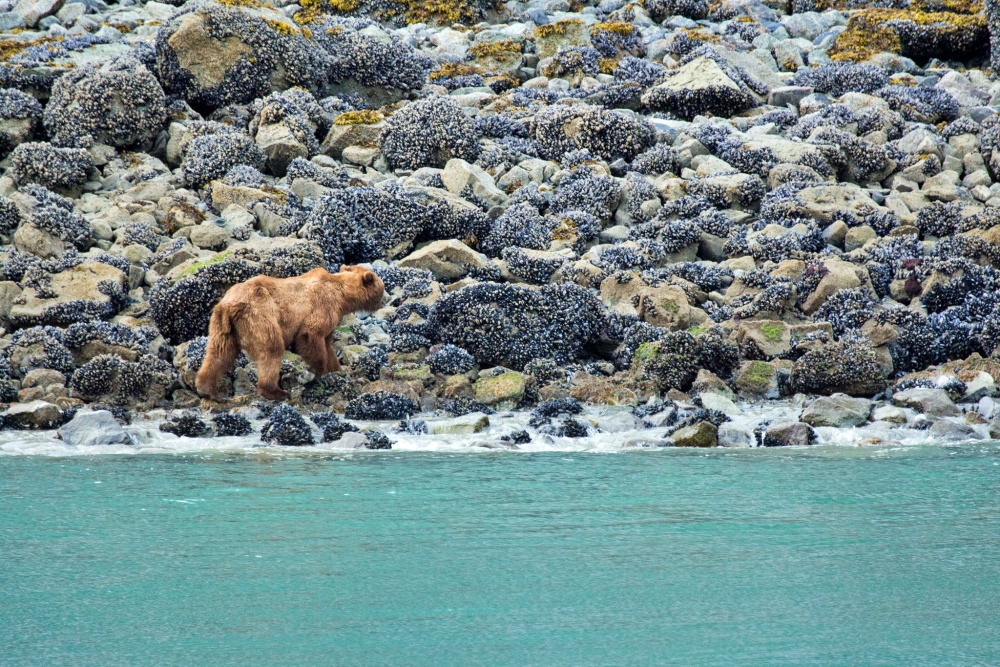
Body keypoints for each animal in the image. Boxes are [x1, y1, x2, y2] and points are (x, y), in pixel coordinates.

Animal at [196, 264, 386, 402]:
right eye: (382, 288)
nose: (383, 302)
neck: (343, 296)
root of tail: (229, 305)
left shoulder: (332, 317)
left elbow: (327, 343)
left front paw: (337, 370)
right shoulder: (323, 305)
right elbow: (310, 335)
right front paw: (316, 372)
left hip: (222, 325)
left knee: (219, 353)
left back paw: (208, 390)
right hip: (259, 314)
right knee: (271, 348)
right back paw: (276, 391)